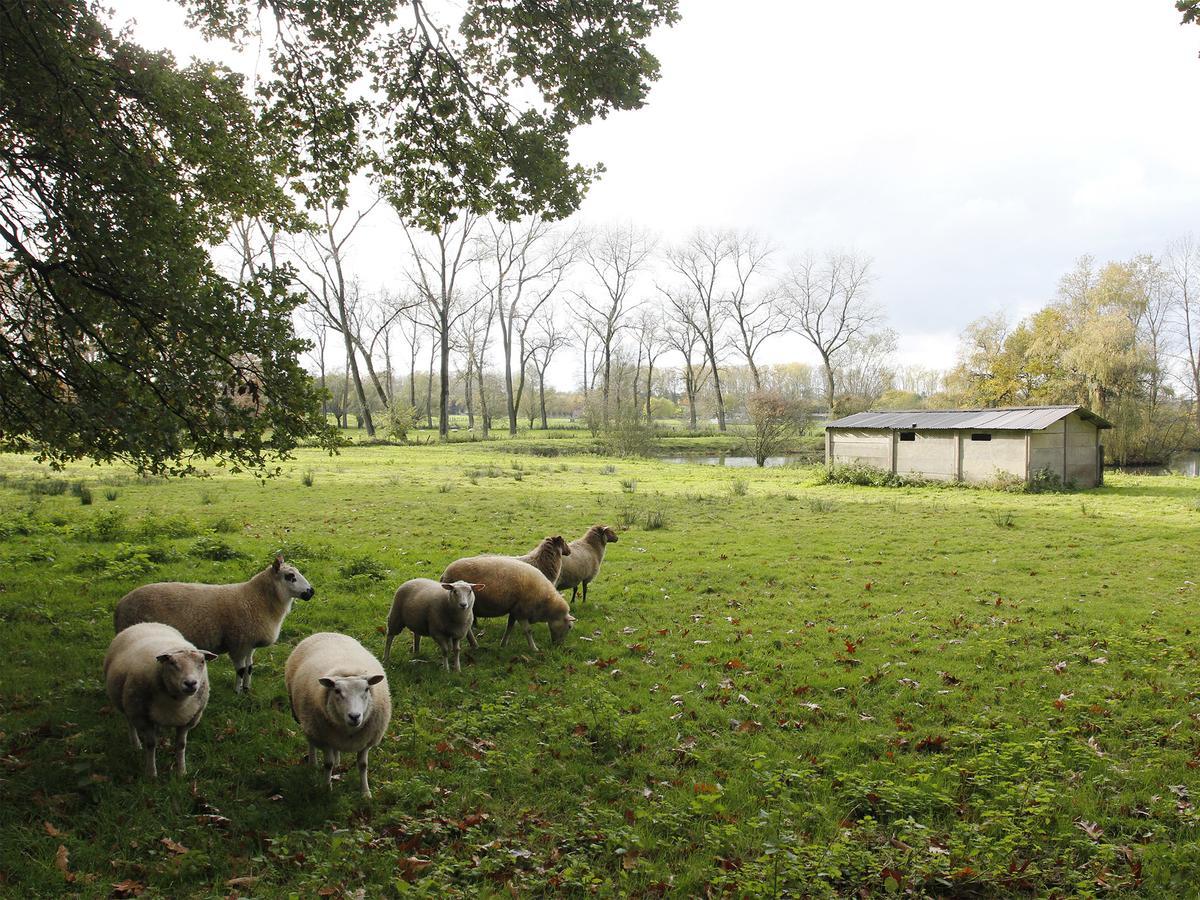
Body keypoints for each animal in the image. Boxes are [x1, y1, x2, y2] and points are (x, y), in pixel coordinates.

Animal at [103, 624, 218, 777]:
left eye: (202, 661)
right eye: (172, 663)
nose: (190, 683)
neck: (177, 702)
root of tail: (144, 623)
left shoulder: (188, 719)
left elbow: (181, 745)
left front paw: (181, 771)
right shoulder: (142, 716)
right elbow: (151, 744)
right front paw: (151, 773)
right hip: (128, 704)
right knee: (130, 723)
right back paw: (136, 744)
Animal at [112, 554, 314, 696]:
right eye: (290, 576)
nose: (311, 591)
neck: (257, 599)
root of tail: (119, 606)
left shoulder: (249, 644)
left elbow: (249, 668)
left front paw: (247, 689)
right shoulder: (237, 643)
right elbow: (240, 669)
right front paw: (237, 692)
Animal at [283, 628, 391, 801]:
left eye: (366, 689)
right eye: (337, 691)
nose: (355, 716)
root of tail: (325, 632)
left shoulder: (366, 741)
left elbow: (363, 765)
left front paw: (366, 793)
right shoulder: (323, 737)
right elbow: (328, 764)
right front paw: (327, 789)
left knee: (336, 750)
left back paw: (338, 760)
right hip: (307, 722)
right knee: (311, 742)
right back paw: (312, 763)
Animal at [441, 554, 576, 652]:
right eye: (569, 627)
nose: (559, 646)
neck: (546, 603)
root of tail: (444, 574)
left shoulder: (514, 610)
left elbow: (509, 627)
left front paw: (503, 644)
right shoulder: (522, 611)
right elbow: (528, 631)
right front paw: (534, 649)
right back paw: (474, 645)